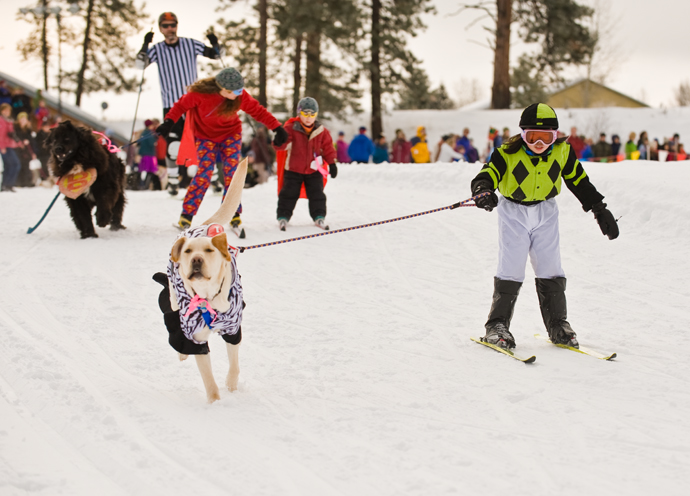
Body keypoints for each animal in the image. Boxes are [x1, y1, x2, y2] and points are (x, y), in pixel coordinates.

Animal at [154, 158, 248, 403]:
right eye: (188, 251)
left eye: (208, 250)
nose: (196, 259)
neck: (207, 298)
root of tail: (202, 225)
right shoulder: (195, 338)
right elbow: (209, 381)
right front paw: (215, 404)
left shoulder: (233, 329)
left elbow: (234, 364)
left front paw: (231, 385)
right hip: (173, 298)